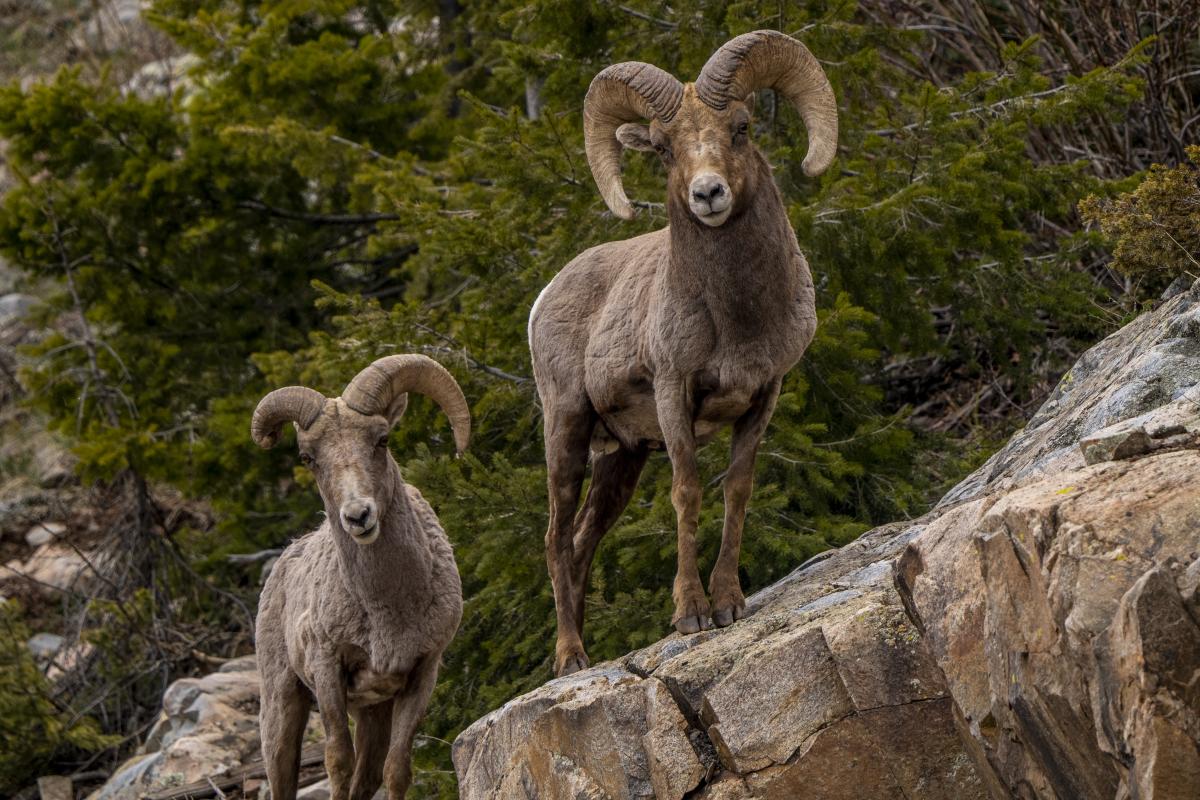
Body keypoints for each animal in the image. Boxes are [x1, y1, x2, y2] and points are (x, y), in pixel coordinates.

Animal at [252, 357, 468, 800]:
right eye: (308, 457)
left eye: (381, 440)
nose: (358, 516)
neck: (388, 609)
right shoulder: (327, 668)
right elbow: (338, 762)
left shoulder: (422, 673)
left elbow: (396, 770)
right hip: (282, 707)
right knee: (281, 776)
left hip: (372, 715)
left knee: (365, 779)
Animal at [530, 29, 840, 676]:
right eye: (665, 149)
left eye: (741, 128)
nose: (708, 194)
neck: (737, 319)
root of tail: (544, 299)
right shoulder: (675, 391)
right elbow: (688, 492)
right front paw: (690, 614)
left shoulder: (763, 394)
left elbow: (737, 488)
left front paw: (728, 603)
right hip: (566, 429)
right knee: (555, 538)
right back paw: (571, 658)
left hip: (621, 460)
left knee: (582, 541)